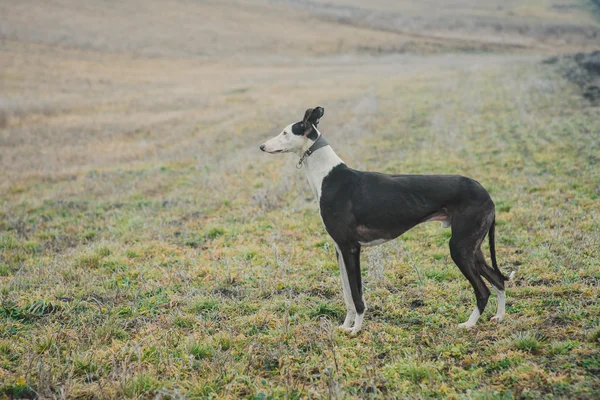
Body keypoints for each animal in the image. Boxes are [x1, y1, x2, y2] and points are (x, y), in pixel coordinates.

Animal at [258, 107, 510, 334]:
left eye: (285, 132)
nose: (261, 146)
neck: (327, 175)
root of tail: (486, 193)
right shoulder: (339, 249)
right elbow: (347, 294)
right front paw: (345, 326)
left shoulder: (351, 248)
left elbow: (357, 296)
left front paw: (356, 329)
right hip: (473, 247)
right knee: (498, 280)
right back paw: (498, 317)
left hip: (459, 248)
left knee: (483, 290)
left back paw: (469, 324)